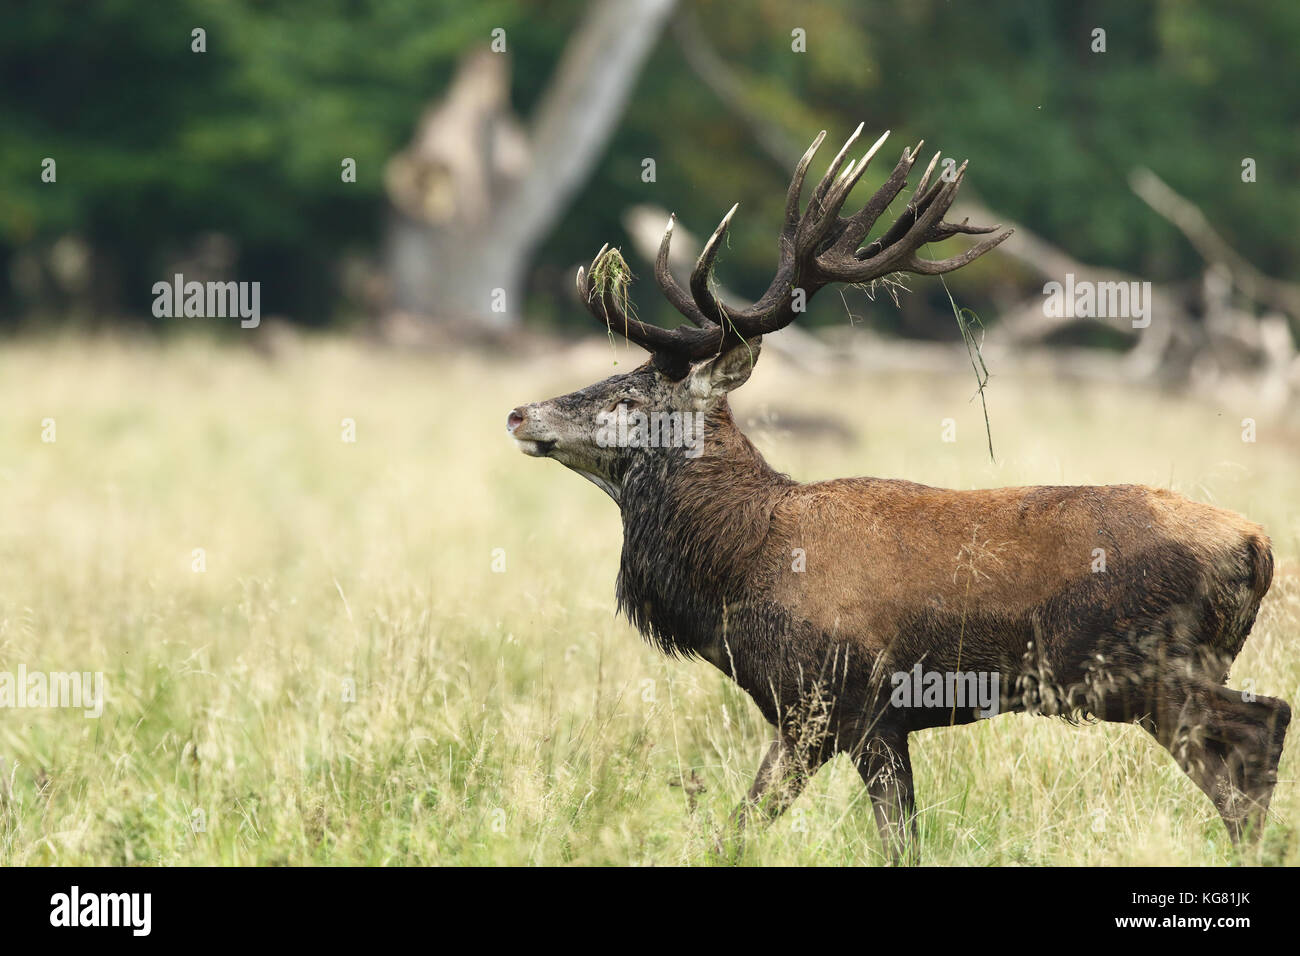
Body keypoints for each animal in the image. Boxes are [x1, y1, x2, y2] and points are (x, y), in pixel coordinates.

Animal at [505, 125, 1291, 863]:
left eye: (628, 398)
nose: (519, 413)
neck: (739, 564)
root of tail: (1257, 546)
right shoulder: (865, 718)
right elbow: (885, 835)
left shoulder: (836, 699)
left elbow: (757, 827)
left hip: (1140, 667)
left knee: (1263, 728)